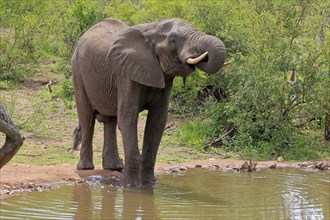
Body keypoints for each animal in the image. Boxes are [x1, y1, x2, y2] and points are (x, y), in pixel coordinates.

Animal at [71, 18, 227, 186]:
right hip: (77, 70)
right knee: (87, 117)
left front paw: (149, 184)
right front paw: (131, 186)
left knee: (110, 120)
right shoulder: (126, 75)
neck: (152, 29)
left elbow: (157, 122)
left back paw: (114, 167)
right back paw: (86, 167)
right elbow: (128, 119)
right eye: (173, 40)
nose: (203, 56)